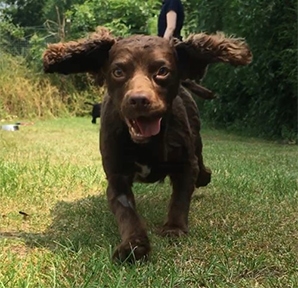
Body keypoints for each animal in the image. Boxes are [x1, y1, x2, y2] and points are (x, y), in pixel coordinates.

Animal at [43, 28, 253, 262]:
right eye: (118, 71)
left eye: (162, 71)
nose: (139, 100)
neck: (146, 144)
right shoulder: (117, 177)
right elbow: (127, 213)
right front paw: (134, 244)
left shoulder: (184, 163)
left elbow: (180, 198)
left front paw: (174, 228)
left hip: (196, 135)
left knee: (199, 160)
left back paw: (204, 176)